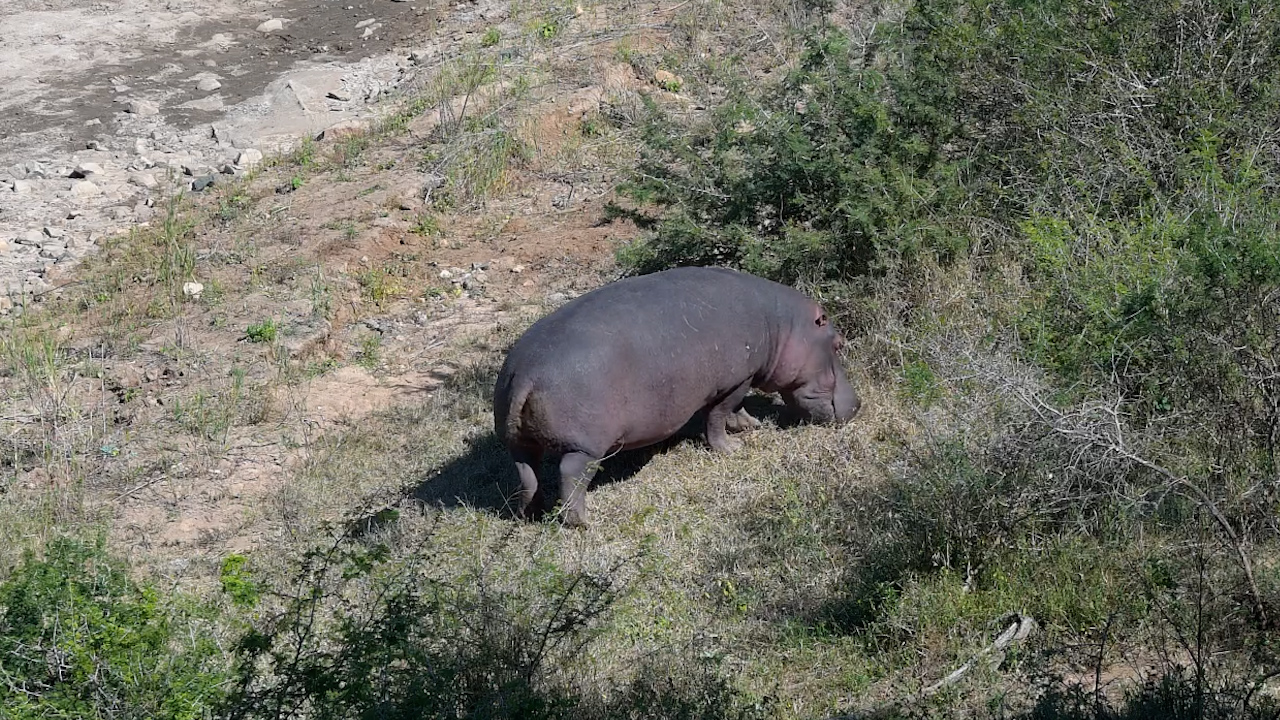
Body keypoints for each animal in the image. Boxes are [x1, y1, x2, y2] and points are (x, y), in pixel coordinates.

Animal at [492, 265, 861, 527]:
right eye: (839, 343)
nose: (857, 404)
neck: (782, 326)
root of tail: (524, 373)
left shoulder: (743, 378)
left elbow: (735, 410)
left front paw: (750, 425)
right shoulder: (737, 380)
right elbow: (717, 416)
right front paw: (731, 448)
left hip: (518, 440)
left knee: (527, 474)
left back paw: (529, 515)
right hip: (584, 446)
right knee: (571, 474)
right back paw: (583, 522)